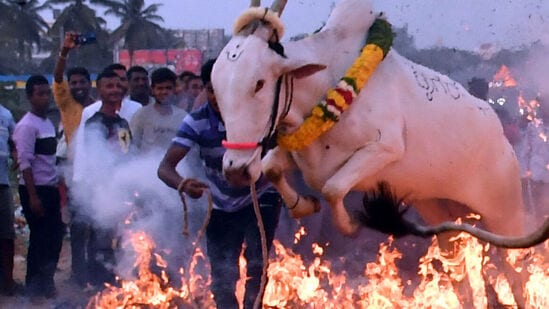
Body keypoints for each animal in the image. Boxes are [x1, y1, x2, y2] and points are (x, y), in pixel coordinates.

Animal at [211, 0, 548, 245]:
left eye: (259, 83)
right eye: (216, 85)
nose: (236, 170)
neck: (325, 82)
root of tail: (501, 137)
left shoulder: (385, 148)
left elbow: (333, 188)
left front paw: (351, 225)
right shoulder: (297, 153)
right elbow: (272, 167)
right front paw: (303, 205)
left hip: (504, 214)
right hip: (441, 210)